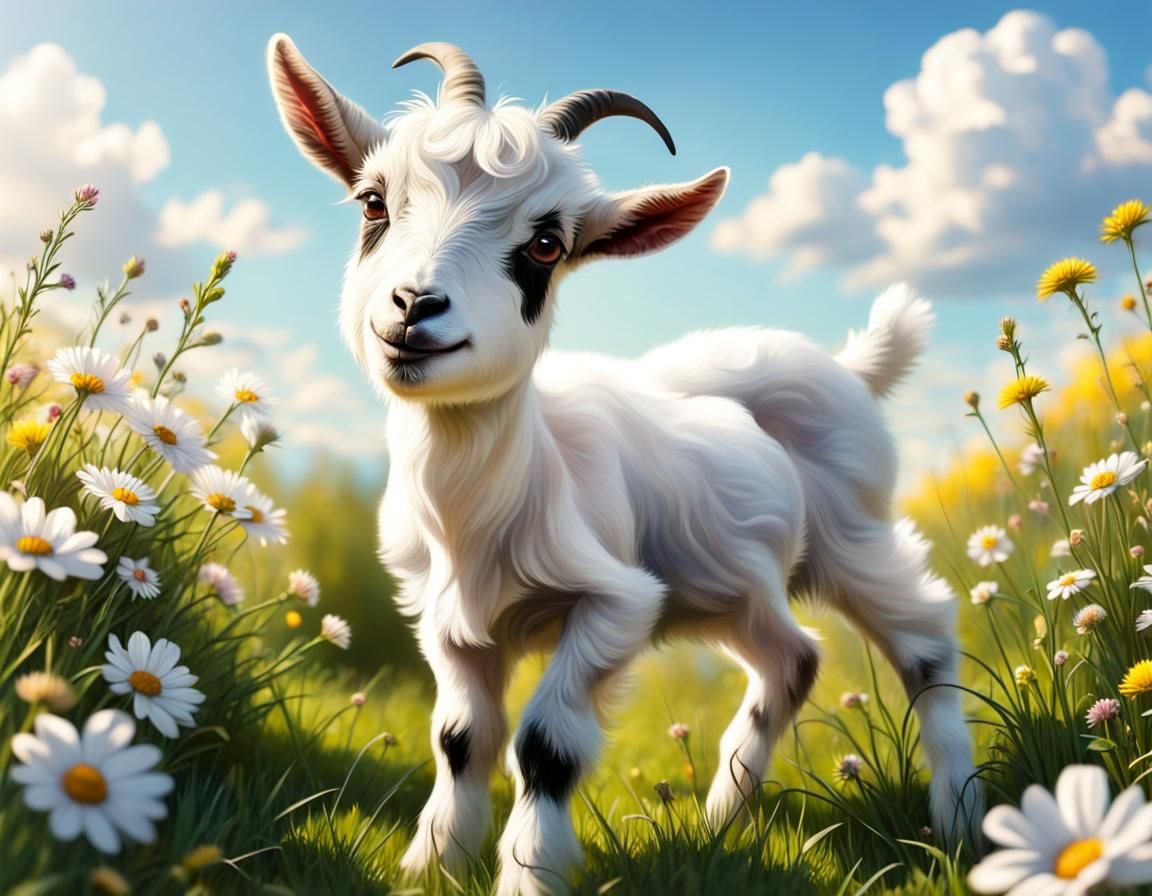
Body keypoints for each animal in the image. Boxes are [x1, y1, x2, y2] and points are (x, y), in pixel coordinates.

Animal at [267, 36, 981, 896]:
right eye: (373, 202)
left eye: (547, 244)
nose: (414, 307)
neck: (485, 503)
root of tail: (850, 366)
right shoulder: (447, 623)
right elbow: (460, 738)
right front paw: (432, 863)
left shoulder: (617, 604)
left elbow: (543, 743)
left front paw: (530, 872)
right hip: (730, 583)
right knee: (795, 657)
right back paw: (720, 823)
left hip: (853, 535)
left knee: (925, 636)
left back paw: (961, 822)